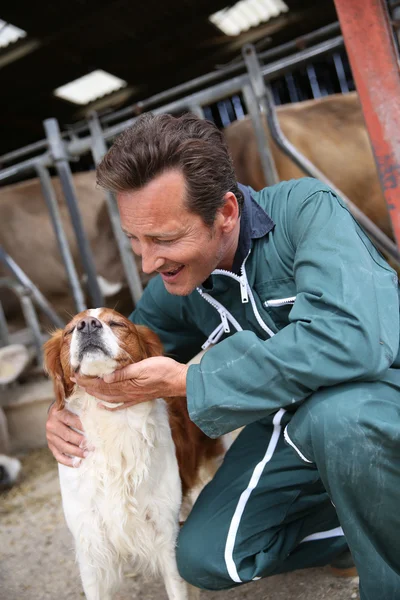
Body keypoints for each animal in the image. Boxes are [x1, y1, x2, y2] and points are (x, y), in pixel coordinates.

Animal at [43, 310, 225, 600]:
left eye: (117, 323)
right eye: (70, 330)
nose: (87, 325)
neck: (112, 424)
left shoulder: (165, 533)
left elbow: (176, 588)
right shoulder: (90, 545)